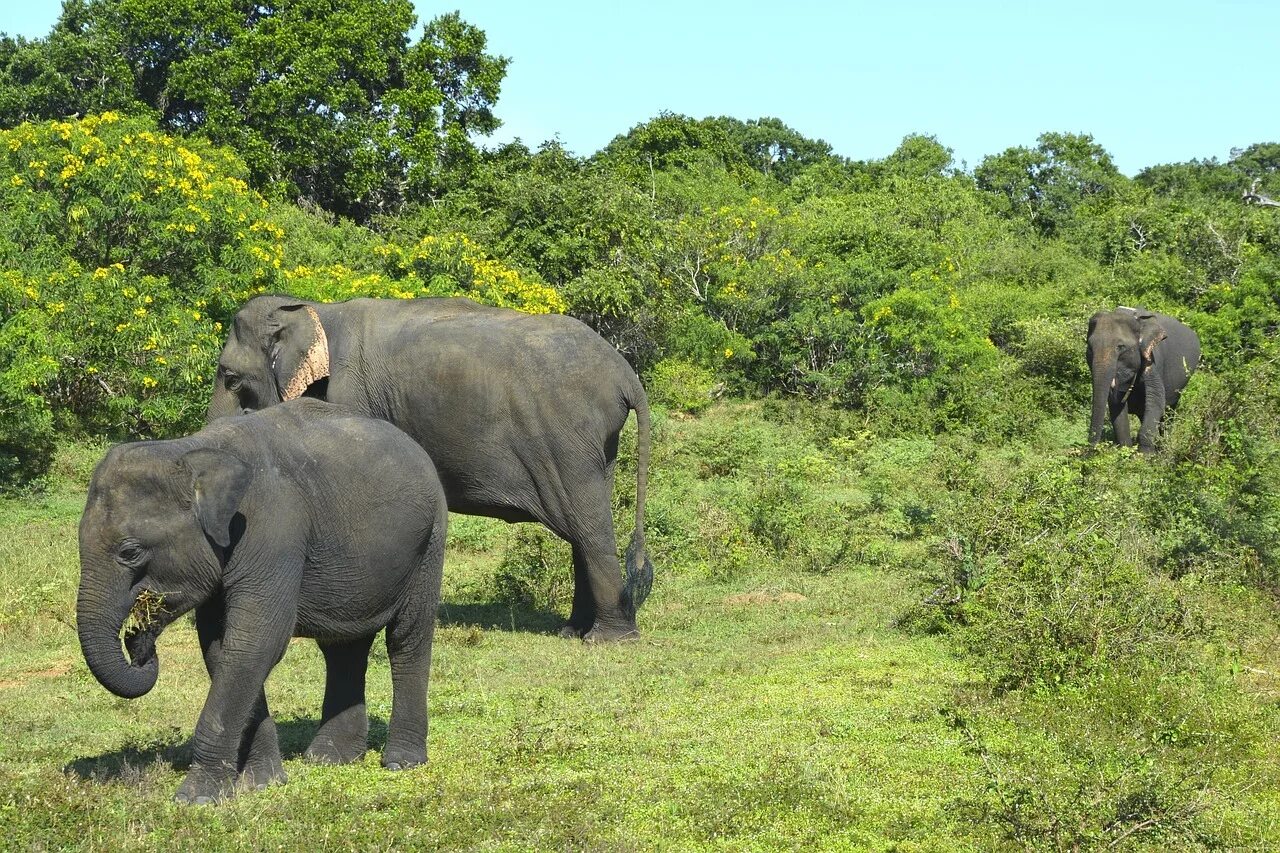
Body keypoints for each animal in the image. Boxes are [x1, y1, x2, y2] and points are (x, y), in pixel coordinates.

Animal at [74, 399, 448, 804]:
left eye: (130, 552)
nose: (138, 640)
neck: (191, 451)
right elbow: (222, 647)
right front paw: (263, 783)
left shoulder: (272, 530)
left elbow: (257, 641)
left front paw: (196, 798)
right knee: (343, 648)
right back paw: (330, 759)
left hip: (430, 539)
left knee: (407, 638)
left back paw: (400, 762)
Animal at [208, 295, 655, 640]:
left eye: (230, 378)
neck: (315, 309)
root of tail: (625, 375)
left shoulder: (350, 398)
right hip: (594, 446)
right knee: (584, 525)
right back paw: (573, 632)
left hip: (566, 438)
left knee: (588, 526)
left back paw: (607, 639)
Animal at [1090, 306, 1198, 450]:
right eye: (1089, 348)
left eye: (1120, 347)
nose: (1091, 448)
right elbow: (1116, 405)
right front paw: (1127, 450)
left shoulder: (1152, 359)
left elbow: (1156, 399)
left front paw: (1145, 455)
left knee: (1168, 412)